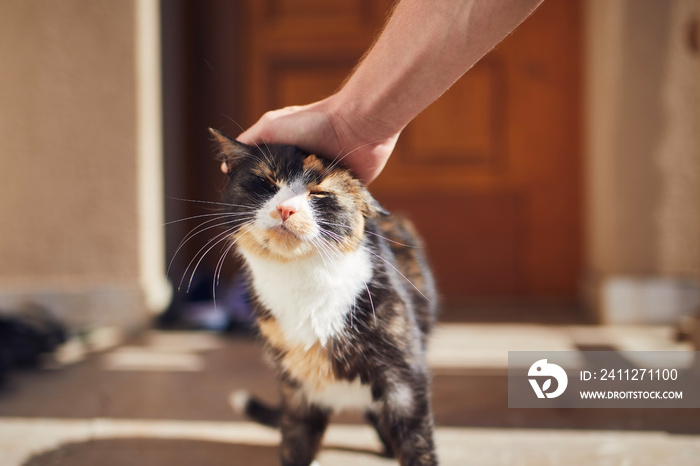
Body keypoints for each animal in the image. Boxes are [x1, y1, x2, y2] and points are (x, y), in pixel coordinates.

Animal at [211, 128, 438, 466]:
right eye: (267, 182)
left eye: (319, 194)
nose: (286, 208)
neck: (303, 281)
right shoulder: (296, 385)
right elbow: (296, 440)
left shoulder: (405, 376)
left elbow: (417, 440)